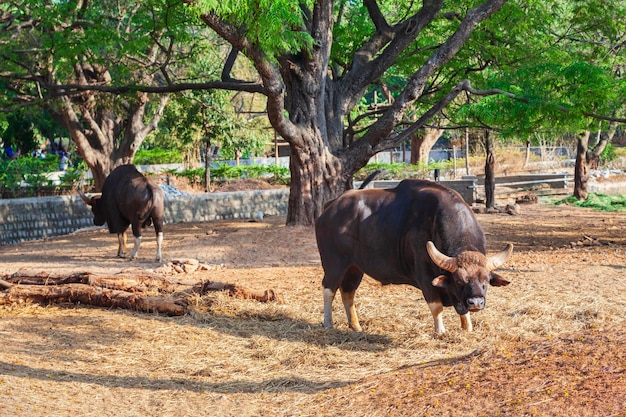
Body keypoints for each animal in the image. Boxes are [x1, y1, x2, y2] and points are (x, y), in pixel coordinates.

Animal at [314, 179, 516, 334]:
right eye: (459, 281)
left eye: (485, 281)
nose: (476, 302)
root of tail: (330, 208)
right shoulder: (425, 278)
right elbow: (436, 306)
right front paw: (440, 332)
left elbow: (462, 309)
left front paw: (467, 327)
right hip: (334, 263)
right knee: (329, 289)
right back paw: (328, 323)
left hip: (355, 267)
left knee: (348, 292)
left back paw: (355, 326)